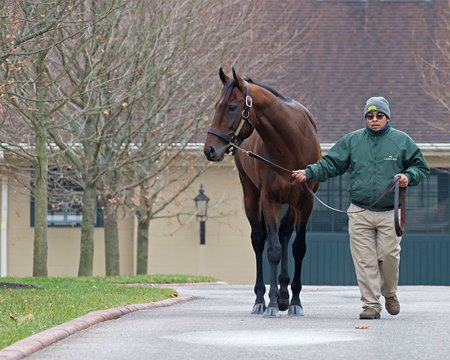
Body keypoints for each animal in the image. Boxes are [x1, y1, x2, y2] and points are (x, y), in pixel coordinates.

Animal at [204, 69, 320, 316]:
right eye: (217, 105)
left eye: (231, 106)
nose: (209, 149)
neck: (291, 146)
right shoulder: (269, 200)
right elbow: (273, 249)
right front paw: (272, 303)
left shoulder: (305, 202)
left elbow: (298, 248)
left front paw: (295, 301)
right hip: (251, 195)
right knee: (259, 240)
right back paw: (261, 299)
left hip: (292, 203)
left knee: (284, 234)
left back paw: (285, 295)